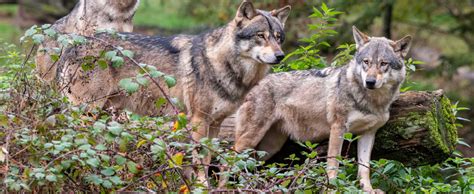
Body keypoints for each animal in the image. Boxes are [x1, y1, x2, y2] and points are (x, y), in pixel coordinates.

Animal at [57, 0, 290, 186]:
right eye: (261, 36)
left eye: (278, 38)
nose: (280, 55)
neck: (221, 63)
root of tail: (73, 44)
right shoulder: (199, 121)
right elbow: (199, 161)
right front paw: (201, 185)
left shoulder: (215, 123)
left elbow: (207, 160)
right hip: (87, 112)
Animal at [233, 26, 412, 192]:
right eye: (366, 62)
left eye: (383, 64)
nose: (369, 82)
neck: (372, 101)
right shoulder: (338, 127)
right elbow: (333, 163)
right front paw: (332, 187)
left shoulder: (368, 133)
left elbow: (364, 168)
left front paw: (367, 189)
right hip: (250, 139)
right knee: (230, 158)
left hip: (268, 148)